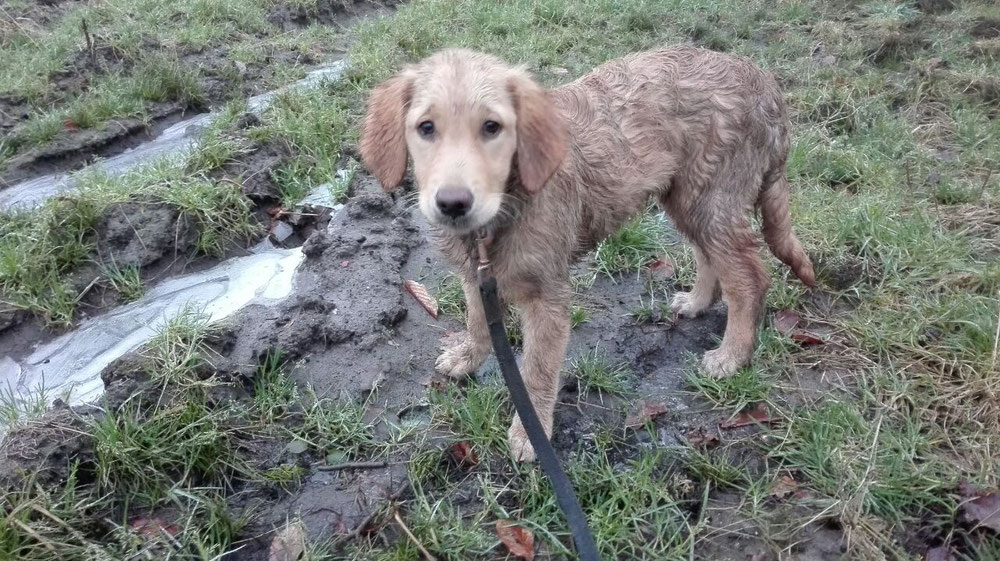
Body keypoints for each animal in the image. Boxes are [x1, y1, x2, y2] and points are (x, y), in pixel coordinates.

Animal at [358, 48, 812, 460]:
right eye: (426, 127)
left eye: (492, 127)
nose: (453, 204)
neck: (508, 201)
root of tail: (764, 82)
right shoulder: (476, 275)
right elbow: (477, 321)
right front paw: (469, 357)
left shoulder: (548, 299)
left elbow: (537, 372)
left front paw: (531, 432)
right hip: (687, 195)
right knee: (709, 256)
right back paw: (698, 301)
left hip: (713, 197)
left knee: (749, 279)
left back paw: (732, 355)